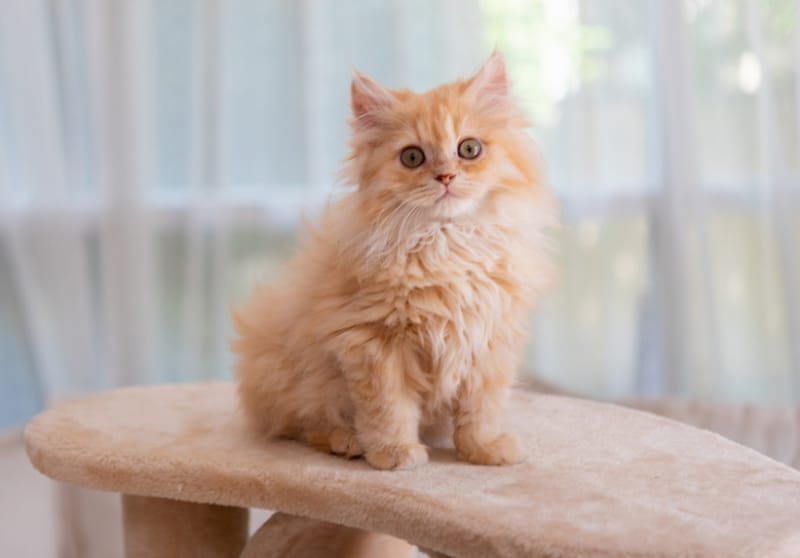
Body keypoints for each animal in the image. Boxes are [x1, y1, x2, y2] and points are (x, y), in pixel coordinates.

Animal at [231, 53, 556, 472]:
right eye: (413, 157)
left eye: (469, 149)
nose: (446, 176)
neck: (446, 244)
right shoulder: (374, 343)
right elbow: (389, 409)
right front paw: (396, 455)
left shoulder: (489, 342)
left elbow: (481, 409)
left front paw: (483, 450)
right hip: (294, 378)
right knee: (303, 425)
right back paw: (347, 442)